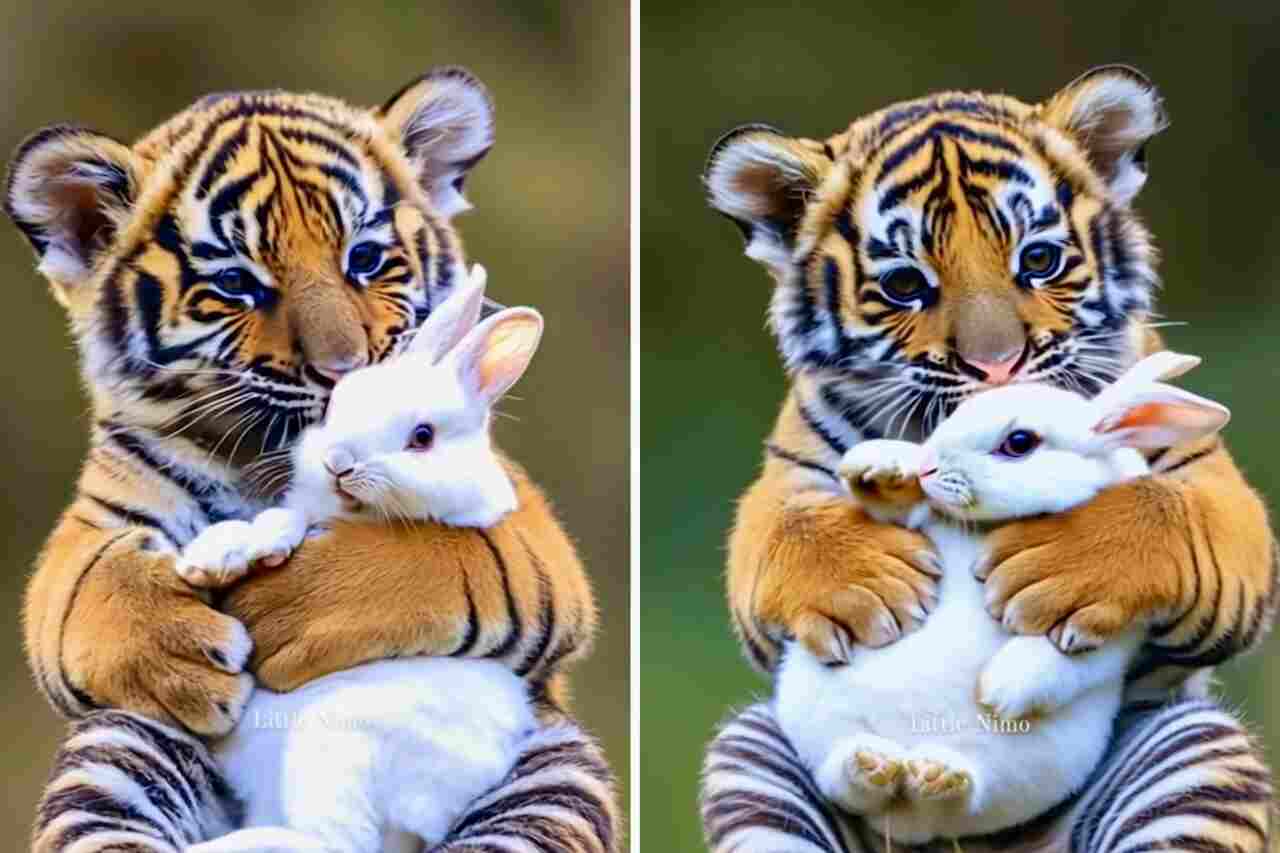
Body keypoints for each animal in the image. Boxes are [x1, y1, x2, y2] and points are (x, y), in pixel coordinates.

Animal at [174, 262, 545, 845]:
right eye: (337, 406)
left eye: (422, 437)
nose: (339, 463)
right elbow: (282, 522)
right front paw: (210, 559)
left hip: (335, 748)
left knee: (331, 843)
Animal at [768, 348, 1228, 840]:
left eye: (1020, 442)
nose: (928, 466)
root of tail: (909, 815)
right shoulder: (914, 527)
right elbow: (888, 515)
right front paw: (879, 467)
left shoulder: (1111, 626)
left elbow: (1065, 659)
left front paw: (998, 691)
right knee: (845, 784)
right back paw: (874, 764)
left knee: (957, 796)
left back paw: (937, 774)